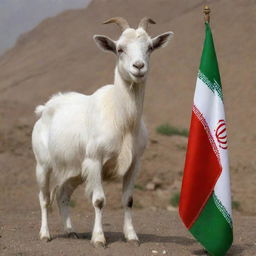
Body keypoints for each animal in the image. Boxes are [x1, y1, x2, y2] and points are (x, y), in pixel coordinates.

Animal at [31, 16, 172, 248]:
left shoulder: (134, 164)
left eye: (150, 47)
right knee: (44, 198)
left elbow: (128, 200)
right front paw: (98, 239)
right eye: (119, 49)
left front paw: (132, 236)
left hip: (75, 171)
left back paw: (71, 231)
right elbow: (98, 200)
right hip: (43, 165)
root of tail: (44, 109)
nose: (138, 67)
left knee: (62, 194)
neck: (122, 120)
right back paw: (45, 234)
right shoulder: (94, 160)